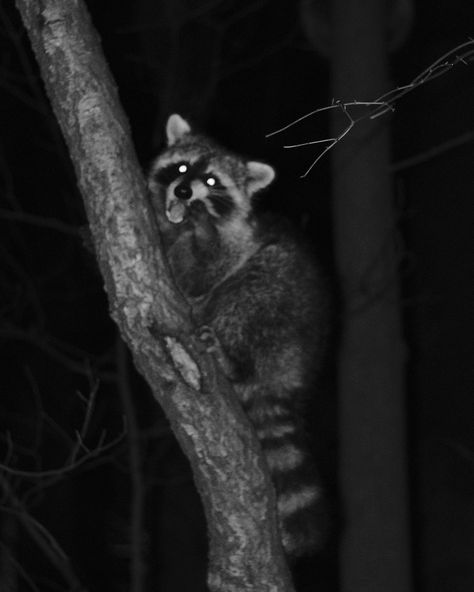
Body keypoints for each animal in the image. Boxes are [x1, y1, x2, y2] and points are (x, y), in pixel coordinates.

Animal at [147, 114, 326, 560]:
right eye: (181, 167)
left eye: (211, 181)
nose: (183, 190)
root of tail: (291, 379)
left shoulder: (236, 242)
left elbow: (201, 273)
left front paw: (200, 234)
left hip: (281, 312)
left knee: (252, 288)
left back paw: (233, 362)